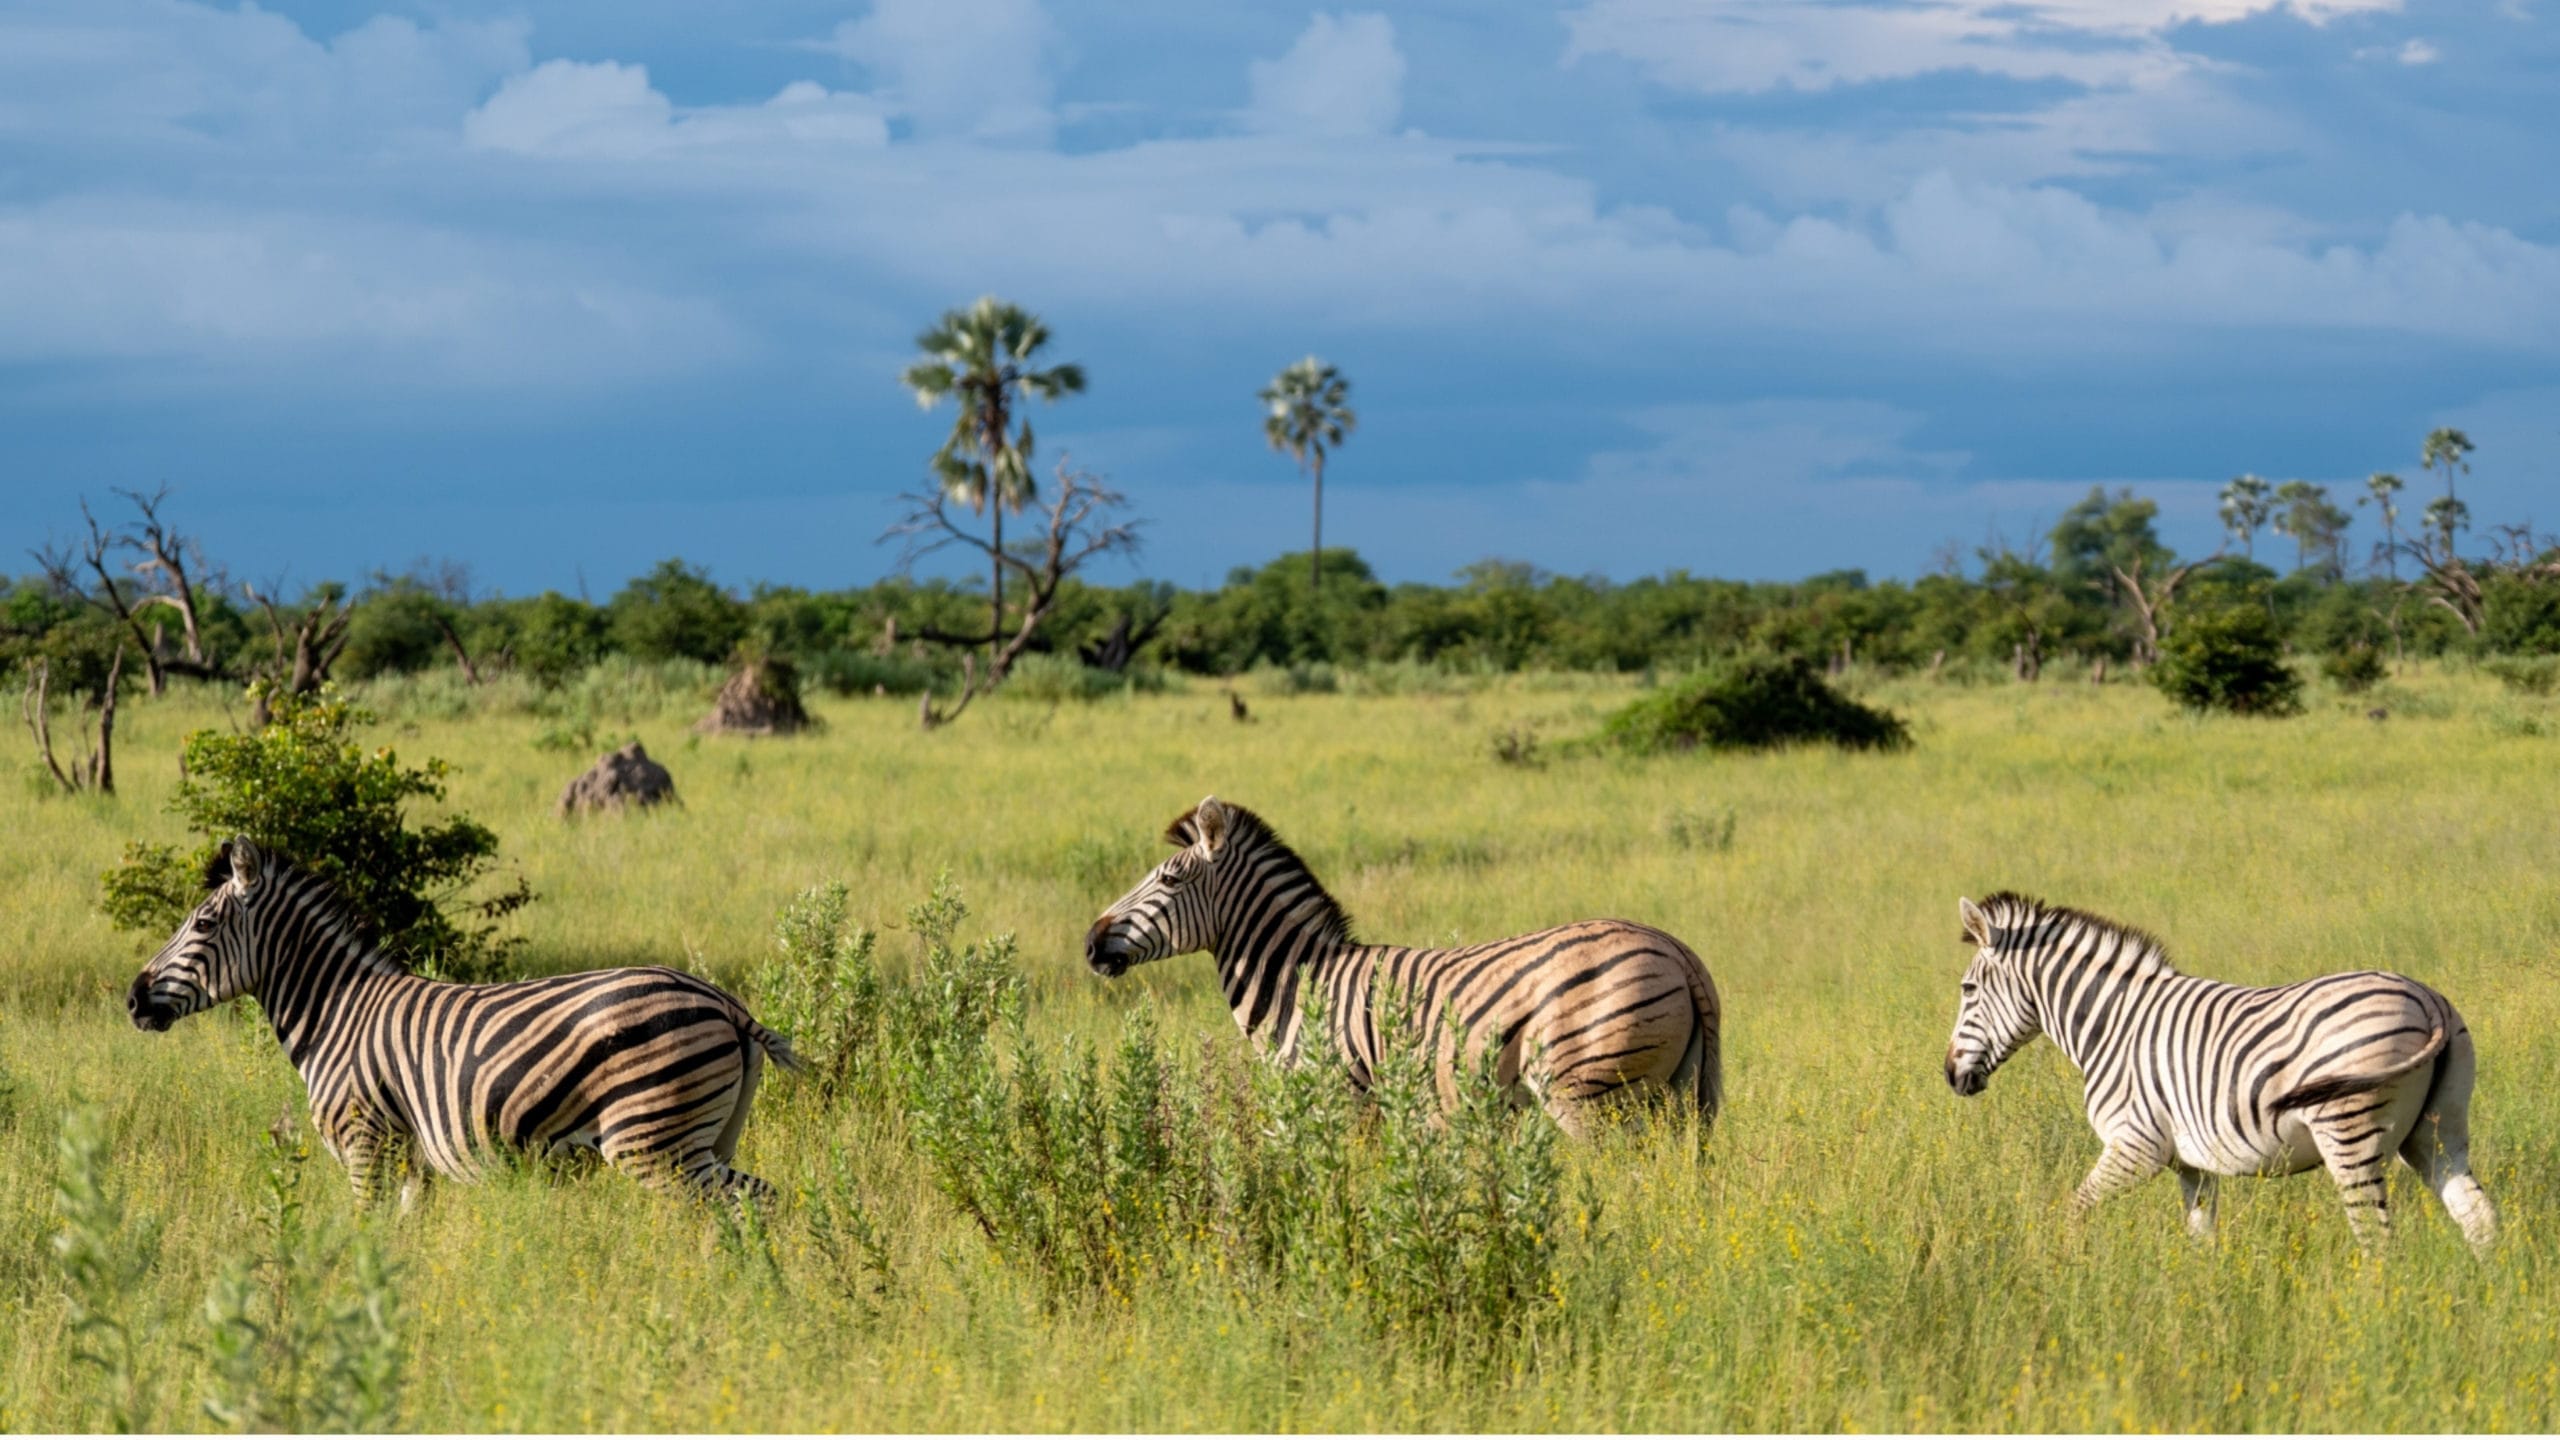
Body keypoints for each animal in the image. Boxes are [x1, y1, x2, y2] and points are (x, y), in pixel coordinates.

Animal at [126, 837, 803, 1203]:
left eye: (203, 925)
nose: (133, 999)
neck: (336, 1017)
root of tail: (727, 1004)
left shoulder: (365, 1144)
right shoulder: (411, 1163)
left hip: (655, 1144)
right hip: (704, 1140)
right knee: (762, 1202)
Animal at [1084, 796, 1721, 1133]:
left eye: (1169, 880)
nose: (1090, 943)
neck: (1299, 983)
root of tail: (1679, 952)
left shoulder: (1341, 1101)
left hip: (1588, 1096)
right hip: (1678, 1096)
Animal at [1944, 891, 2497, 1252]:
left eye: (1968, 990)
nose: (1950, 1075)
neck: (2112, 1025)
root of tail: (2428, 1000)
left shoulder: (2135, 1146)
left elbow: (2073, 1212)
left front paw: (2063, 1268)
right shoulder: (2192, 1163)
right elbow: (2201, 1240)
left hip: (2349, 1131)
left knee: (2378, 1238)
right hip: (2438, 1130)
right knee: (2478, 1216)